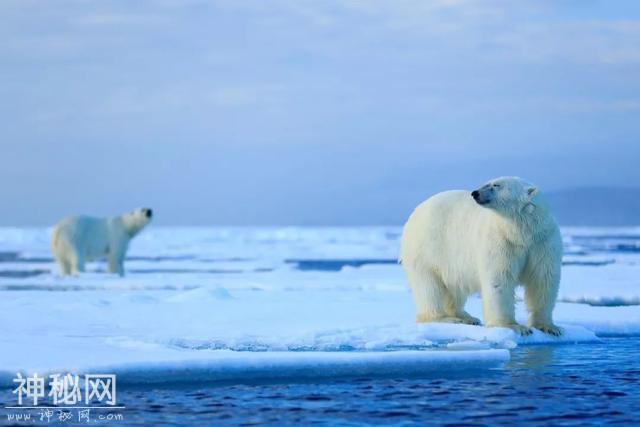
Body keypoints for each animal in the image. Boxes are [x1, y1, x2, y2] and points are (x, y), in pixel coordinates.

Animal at [402, 177, 564, 338]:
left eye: (496, 185)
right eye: (488, 182)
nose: (475, 193)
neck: (522, 234)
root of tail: (416, 212)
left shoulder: (543, 243)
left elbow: (542, 280)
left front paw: (548, 327)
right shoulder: (501, 241)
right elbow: (500, 279)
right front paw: (513, 326)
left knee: (454, 286)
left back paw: (466, 317)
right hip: (427, 249)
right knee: (429, 287)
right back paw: (445, 318)